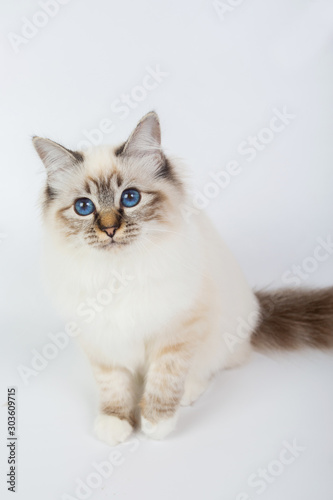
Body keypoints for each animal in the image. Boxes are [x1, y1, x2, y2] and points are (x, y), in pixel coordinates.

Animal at [33, 110, 332, 446]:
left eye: (130, 198)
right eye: (84, 207)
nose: (109, 229)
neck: (119, 271)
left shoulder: (180, 328)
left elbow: (165, 378)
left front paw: (155, 423)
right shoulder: (101, 337)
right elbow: (113, 384)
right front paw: (116, 423)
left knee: (215, 366)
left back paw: (188, 393)